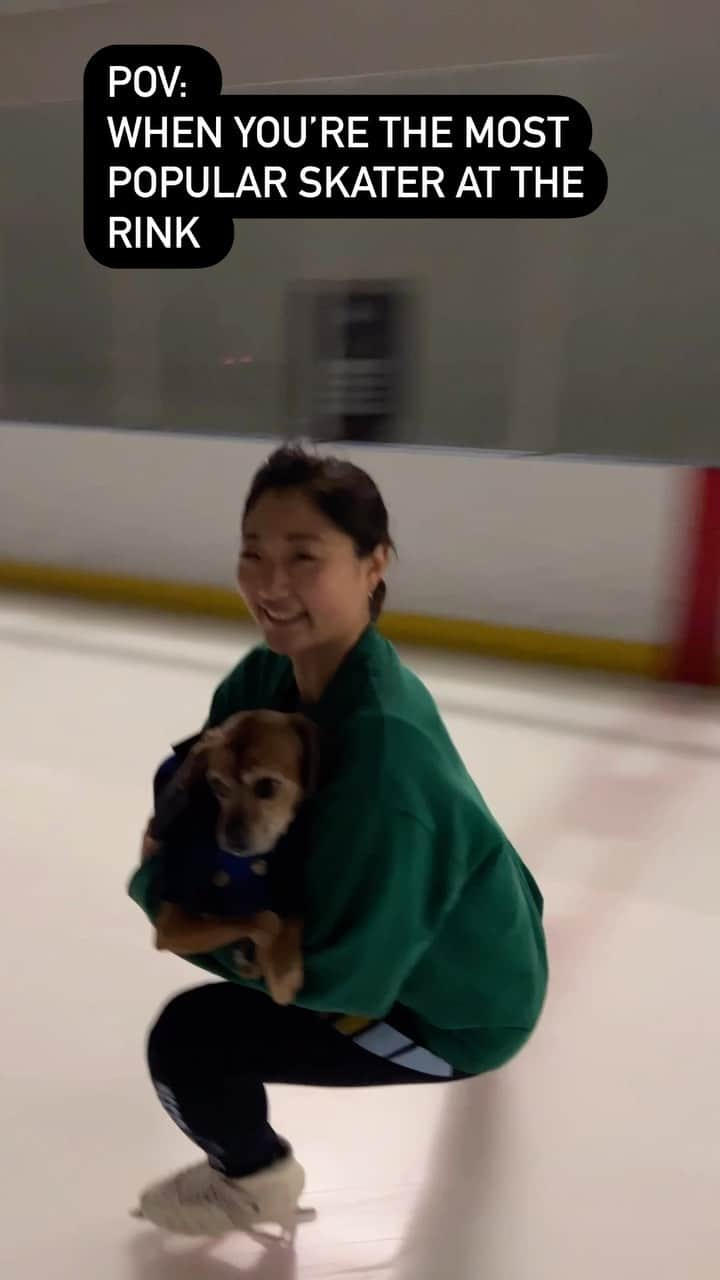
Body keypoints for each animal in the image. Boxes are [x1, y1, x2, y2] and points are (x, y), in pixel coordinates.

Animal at [149, 706, 316, 1003]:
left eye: (266, 787)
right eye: (218, 785)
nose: (233, 841)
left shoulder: (292, 886)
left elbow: (289, 915)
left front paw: (283, 965)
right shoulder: (170, 925)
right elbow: (264, 920)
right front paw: (264, 954)